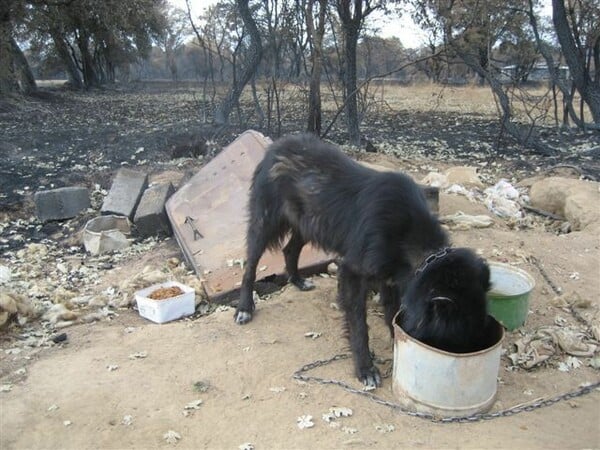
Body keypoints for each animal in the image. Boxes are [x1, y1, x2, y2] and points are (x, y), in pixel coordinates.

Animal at [232, 133, 490, 386]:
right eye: (457, 338)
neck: (411, 238)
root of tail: (277, 145)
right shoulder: (353, 272)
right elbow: (358, 325)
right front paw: (366, 369)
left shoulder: (390, 279)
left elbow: (393, 314)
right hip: (266, 222)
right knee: (250, 265)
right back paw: (244, 308)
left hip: (309, 222)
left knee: (289, 250)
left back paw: (298, 280)